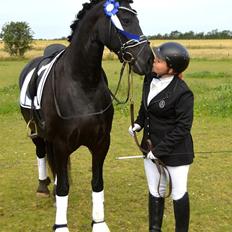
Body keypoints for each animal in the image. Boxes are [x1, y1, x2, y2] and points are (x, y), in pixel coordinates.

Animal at [18, 0, 152, 231]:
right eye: (126, 20)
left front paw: (99, 223)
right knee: (42, 154)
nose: (149, 59)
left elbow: (97, 183)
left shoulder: (101, 143)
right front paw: (61, 226)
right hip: (37, 134)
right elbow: (63, 187)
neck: (81, 83)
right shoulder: (61, 143)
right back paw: (43, 188)